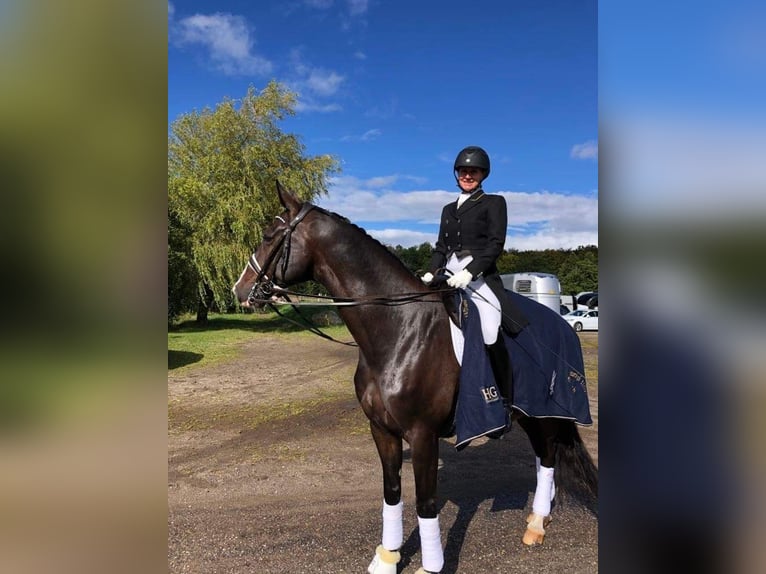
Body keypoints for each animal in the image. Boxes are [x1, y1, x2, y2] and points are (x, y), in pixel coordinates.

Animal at [234, 182, 600, 574]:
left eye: (268, 235)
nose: (239, 289)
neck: (399, 329)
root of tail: (563, 324)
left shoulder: (423, 434)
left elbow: (426, 502)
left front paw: (431, 566)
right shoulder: (382, 429)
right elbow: (392, 492)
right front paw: (387, 556)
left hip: (545, 412)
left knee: (547, 458)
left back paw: (536, 525)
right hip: (531, 415)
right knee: (544, 456)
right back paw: (538, 517)